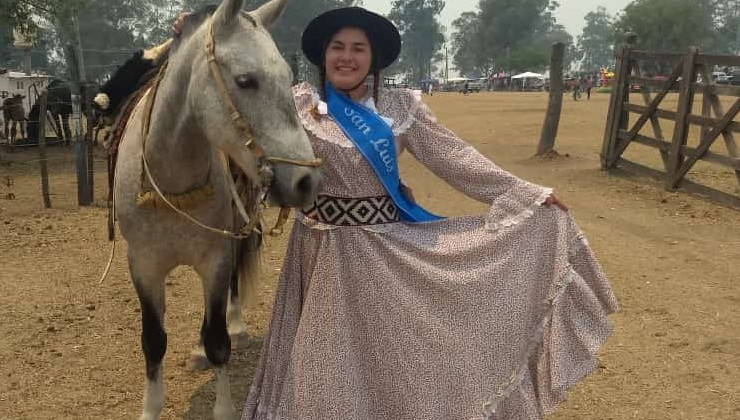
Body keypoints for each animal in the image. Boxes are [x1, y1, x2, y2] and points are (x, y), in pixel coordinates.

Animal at [114, 0, 322, 420]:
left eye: (288, 77)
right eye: (245, 80)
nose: (305, 181)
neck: (171, 184)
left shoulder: (216, 258)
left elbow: (218, 340)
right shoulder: (143, 264)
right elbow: (153, 340)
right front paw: (151, 406)